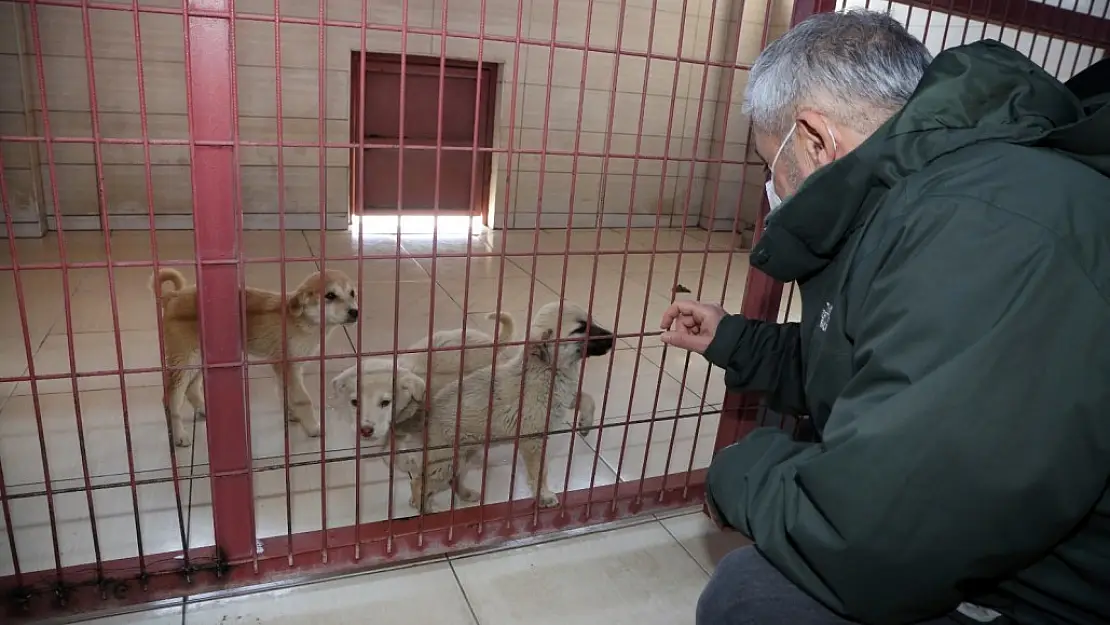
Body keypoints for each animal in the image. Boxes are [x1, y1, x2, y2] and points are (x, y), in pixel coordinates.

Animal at [149, 266, 357, 448]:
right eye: (330, 295)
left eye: (353, 293)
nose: (355, 312)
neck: (301, 321)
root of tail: (172, 296)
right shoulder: (288, 365)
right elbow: (303, 399)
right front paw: (313, 427)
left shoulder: (285, 366)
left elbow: (284, 392)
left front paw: (291, 413)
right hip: (185, 359)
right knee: (171, 397)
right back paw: (179, 435)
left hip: (201, 359)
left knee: (191, 388)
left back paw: (203, 410)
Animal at [395, 301, 617, 512]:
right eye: (579, 329)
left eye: (591, 322)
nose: (613, 337)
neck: (546, 368)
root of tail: (427, 414)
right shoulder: (533, 442)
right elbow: (539, 472)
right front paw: (544, 495)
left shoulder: (566, 395)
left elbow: (587, 399)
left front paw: (585, 424)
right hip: (445, 461)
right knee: (419, 482)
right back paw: (423, 509)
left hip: (465, 456)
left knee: (451, 480)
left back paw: (465, 494)